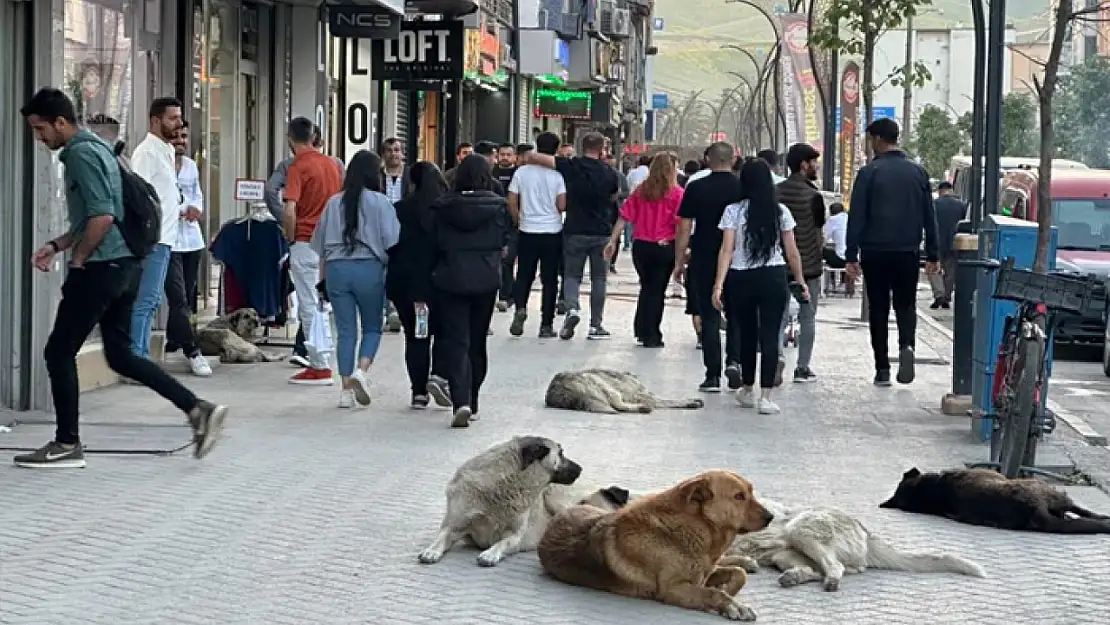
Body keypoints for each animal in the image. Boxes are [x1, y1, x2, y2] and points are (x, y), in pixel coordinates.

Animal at [417, 437, 630, 568]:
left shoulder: (515, 535)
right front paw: (431, 550)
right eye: (560, 453)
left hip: (560, 502)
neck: (500, 488)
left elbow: (503, 542)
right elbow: (442, 536)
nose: (580, 468)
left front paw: (490, 553)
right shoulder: (456, 525)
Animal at [537, 470, 772, 621]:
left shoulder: (703, 572)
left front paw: (729, 588)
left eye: (750, 492)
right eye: (739, 496)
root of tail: (566, 509)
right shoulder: (673, 589)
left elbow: (738, 574)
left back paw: (745, 560)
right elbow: (714, 593)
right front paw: (731, 603)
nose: (771, 517)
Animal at [543, 366, 701, 415]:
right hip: (607, 388)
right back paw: (643, 408)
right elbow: (669, 400)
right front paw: (691, 401)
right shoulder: (645, 395)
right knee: (619, 407)